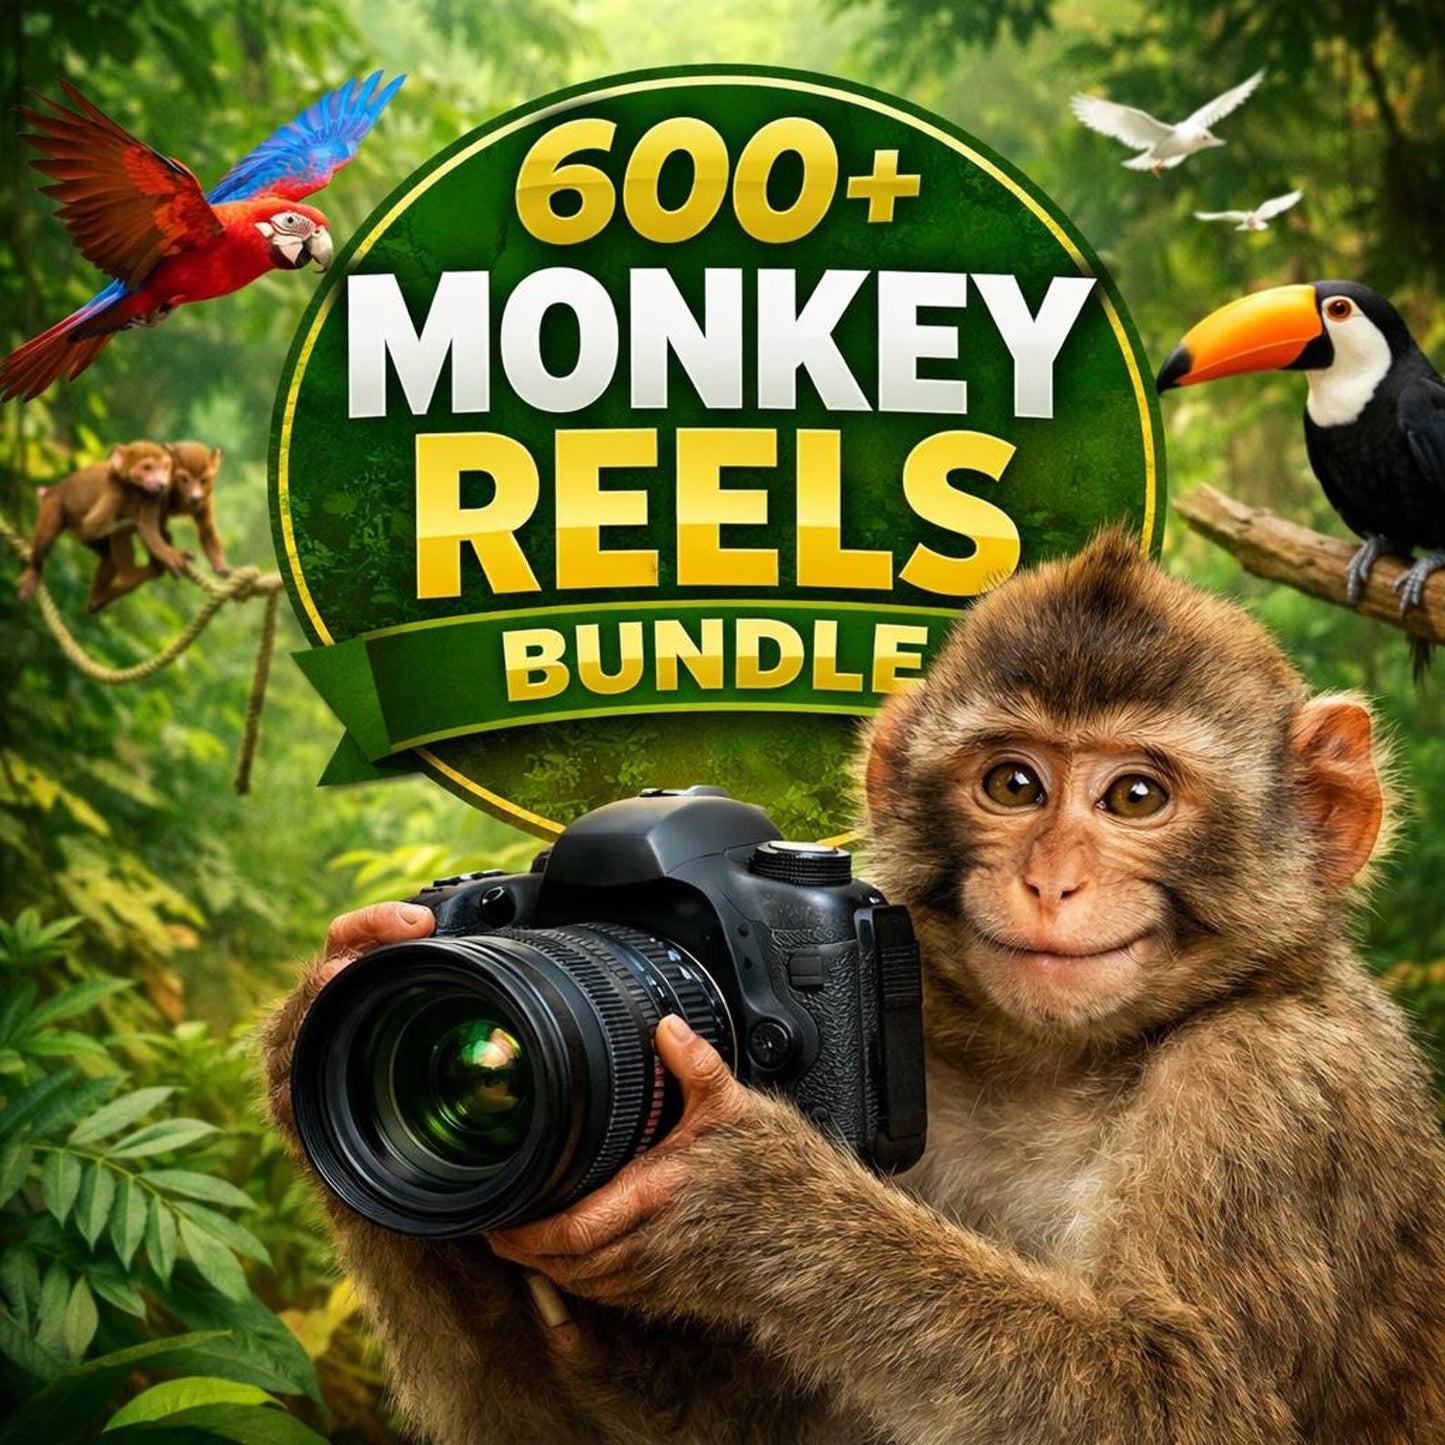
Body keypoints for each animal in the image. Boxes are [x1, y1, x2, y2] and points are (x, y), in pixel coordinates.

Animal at [17, 441, 188, 612]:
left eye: (165, 468)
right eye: (147, 468)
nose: (161, 482)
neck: (132, 488)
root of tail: (53, 490)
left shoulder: (155, 496)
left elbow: (150, 527)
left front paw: (164, 548)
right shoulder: (114, 493)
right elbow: (91, 528)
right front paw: (138, 530)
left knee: (108, 555)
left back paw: (99, 598)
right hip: (53, 503)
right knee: (52, 534)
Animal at [262, 531, 1445, 1444]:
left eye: (1136, 796)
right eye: (1012, 784)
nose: (1049, 878)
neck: (1061, 1062)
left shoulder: (1281, 1092)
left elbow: (1187, 1400)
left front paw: (743, 1195)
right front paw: (307, 1024)